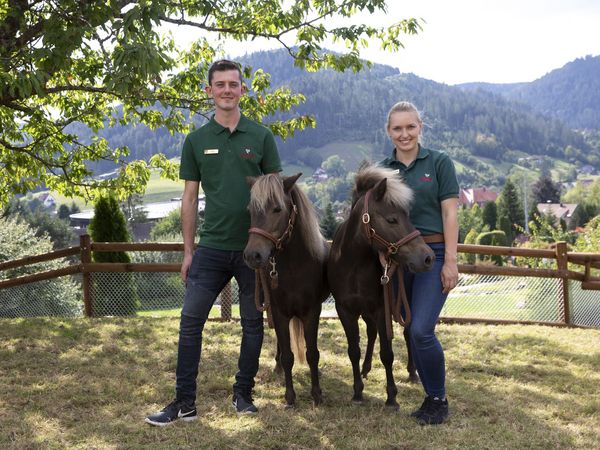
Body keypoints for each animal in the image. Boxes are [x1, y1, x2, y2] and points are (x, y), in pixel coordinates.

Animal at [243, 172, 328, 408]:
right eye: (251, 210)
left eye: (277, 209)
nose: (252, 256)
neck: (294, 267)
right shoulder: (280, 313)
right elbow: (288, 355)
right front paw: (290, 397)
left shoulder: (311, 313)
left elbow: (312, 353)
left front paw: (317, 394)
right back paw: (278, 367)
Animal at [328, 164, 436, 408]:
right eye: (392, 219)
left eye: (407, 216)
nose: (427, 258)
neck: (354, 264)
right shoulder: (345, 311)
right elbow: (353, 350)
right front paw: (358, 392)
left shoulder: (381, 309)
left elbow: (387, 353)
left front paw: (391, 397)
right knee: (371, 333)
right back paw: (366, 369)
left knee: (406, 332)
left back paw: (412, 373)